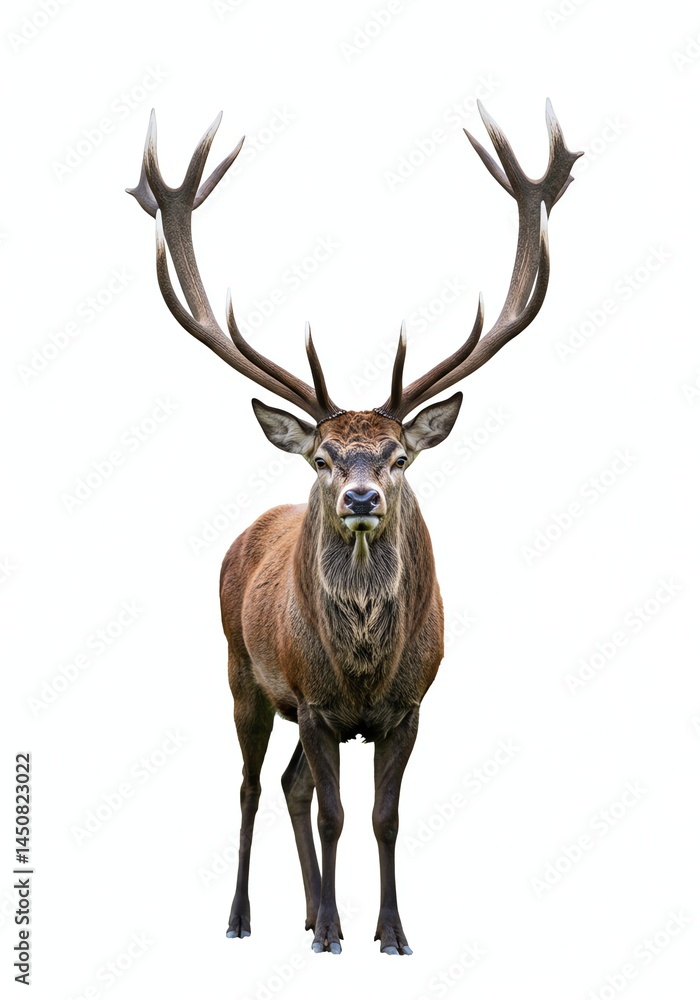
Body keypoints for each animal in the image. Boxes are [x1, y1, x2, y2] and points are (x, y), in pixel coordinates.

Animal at [127, 100, 580, 955]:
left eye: (400, 456)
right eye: (324, 457)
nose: (362, 497)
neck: (363, 669)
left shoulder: (408, 707)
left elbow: (385, 818)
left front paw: (390, 933)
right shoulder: (311, 702)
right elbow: (338, 815)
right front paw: (335, 934)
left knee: (288, 785)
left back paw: (306, 908)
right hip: (241, 670)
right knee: (251, 786)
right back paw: (244, 918)